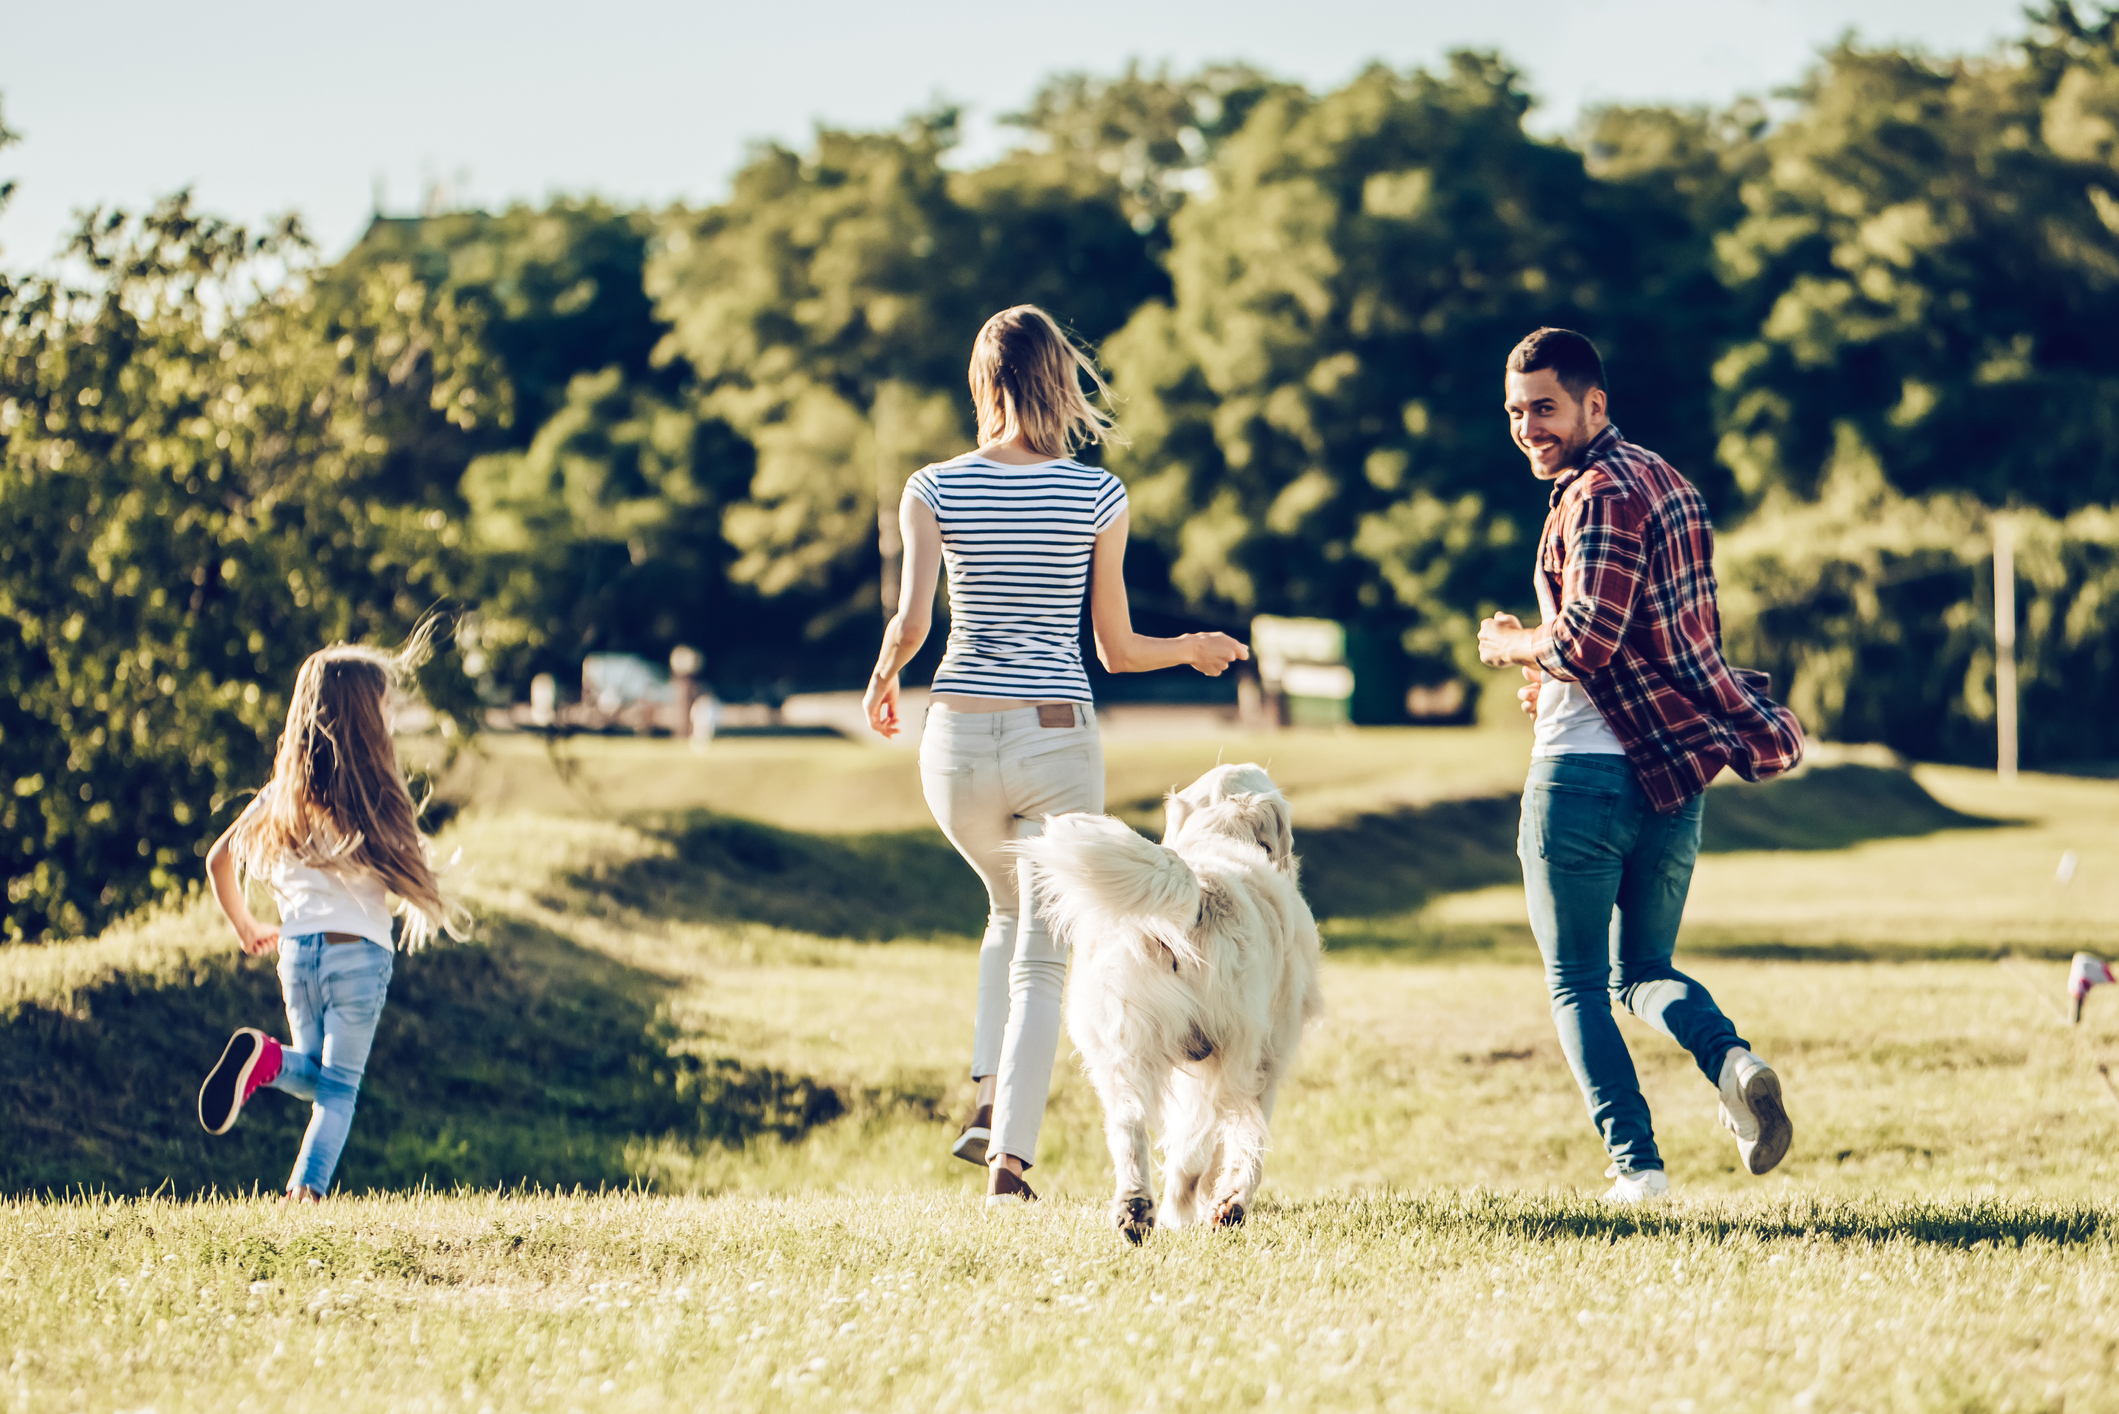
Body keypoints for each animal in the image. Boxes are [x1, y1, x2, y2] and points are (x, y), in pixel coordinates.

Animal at [1012, 767, 1322, 1246]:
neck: (1218, 833)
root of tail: (1198, 890)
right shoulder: (1266, 1060)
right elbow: (1246, 1144)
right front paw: (1227, 1202)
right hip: (1229, 1055)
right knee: (1197, 1144)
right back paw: (1187, 1209)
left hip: (1120, 1047)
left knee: (1130, 1125)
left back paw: (1136, 1210)